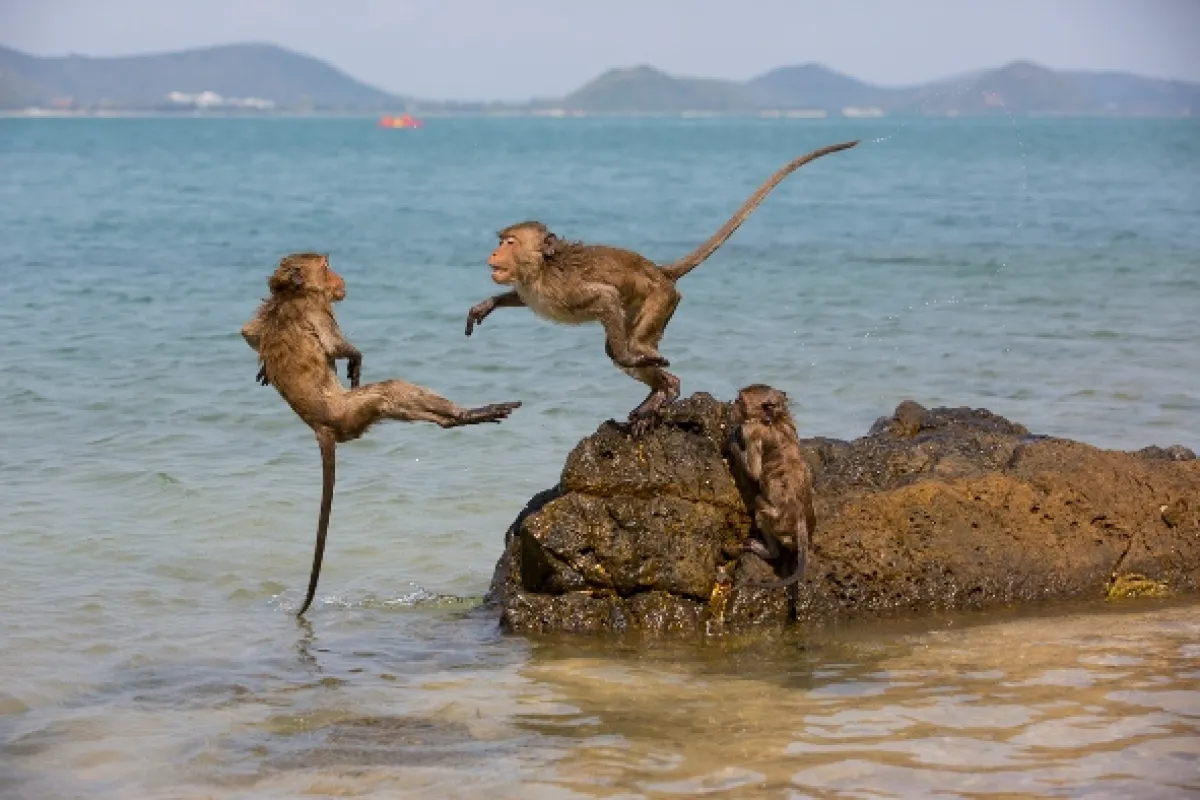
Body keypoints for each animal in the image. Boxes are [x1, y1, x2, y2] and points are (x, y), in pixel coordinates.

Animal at [241, 252, 522, 616]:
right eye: (326, 266)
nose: (340, 279)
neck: (289, 293)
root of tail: (321, 427)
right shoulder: (315, 309)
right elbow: (336, 346)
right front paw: (355, 357)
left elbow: (249, 333)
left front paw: (263, 367)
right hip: (351, 412)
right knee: (390, 391)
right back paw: (463, 415)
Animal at [463, 140, 860, 434]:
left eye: (510, 242)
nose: (494, 252)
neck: (540, 269)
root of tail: (661, 272)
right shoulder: (531, 289)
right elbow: (517, 298)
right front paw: (486, 305)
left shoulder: (562, 287)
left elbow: (605, 298)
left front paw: (632, 357)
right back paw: (661, 391)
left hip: (661, 300)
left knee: (631, 345)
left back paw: (664, 384)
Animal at [725, 383, 816, 590]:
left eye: (741, 401)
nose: (732, 406)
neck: (775, 419)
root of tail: (800, 520)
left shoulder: (751, 431)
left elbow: (754, 473)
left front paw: (732, 441)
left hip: (777, 520)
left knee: (760, 505)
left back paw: (767, 550)